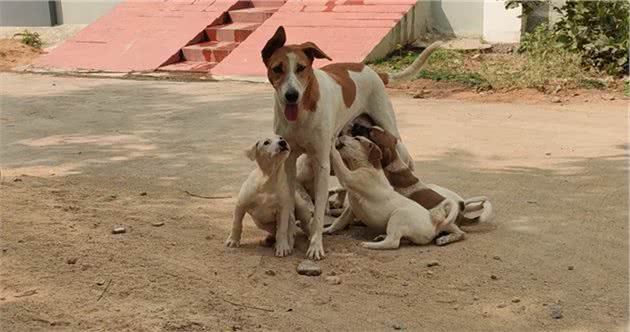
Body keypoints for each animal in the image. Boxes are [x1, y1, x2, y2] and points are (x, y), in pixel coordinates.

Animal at [260, 26, 440, 260]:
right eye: (277, 69)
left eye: (301, 68)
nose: (292, 95)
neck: (301, 113)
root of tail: (373, 71)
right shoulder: (289, 163)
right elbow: (288, 207)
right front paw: (284, 241)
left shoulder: (321, 162)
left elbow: (319, 211)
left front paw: (316, 245)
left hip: (390, 129)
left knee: (405, 158)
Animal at [326, 136, 464, 249]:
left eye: (357, 139)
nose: (341, 135)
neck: (367, 165)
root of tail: (433, 222)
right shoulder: (351, 208)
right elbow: (340, 221)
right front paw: (327, 230)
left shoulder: (350, 177)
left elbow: (338, 161)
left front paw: (331, 143)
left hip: (398, 215)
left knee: (393, 242)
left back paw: (369, 244)